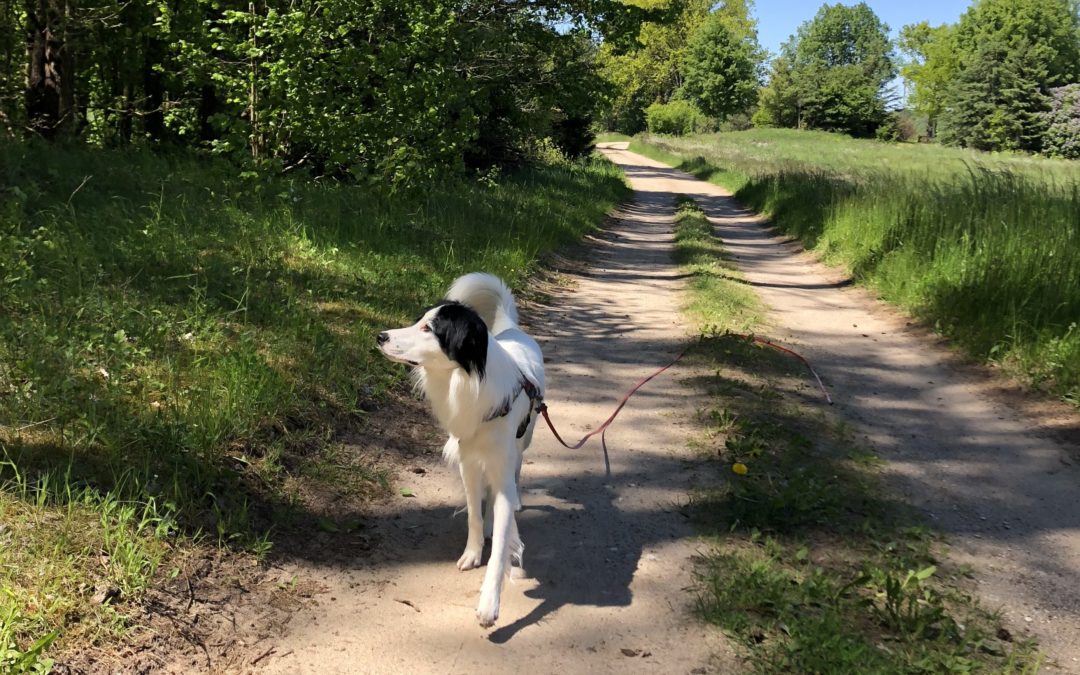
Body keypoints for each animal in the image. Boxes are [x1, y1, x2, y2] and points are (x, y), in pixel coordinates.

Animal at [380, 271, 548, 622]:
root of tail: (512, 329)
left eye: (429, 329)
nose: (380, 336)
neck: (468, 380)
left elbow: (501, 543)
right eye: (419, 320)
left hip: (524, 439)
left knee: (517, 468)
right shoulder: (468, 462)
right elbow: (473, 513)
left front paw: (489, 604)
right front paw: (473, 551)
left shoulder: (499, 463)